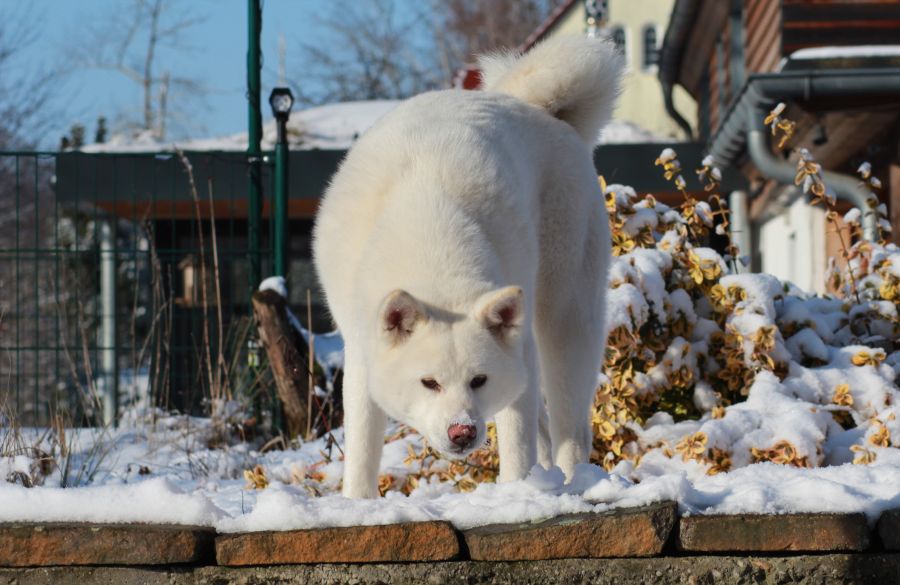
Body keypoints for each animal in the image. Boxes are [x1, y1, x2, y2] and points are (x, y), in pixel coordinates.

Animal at [313, 36, 623, 498]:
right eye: (429, 382)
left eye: (479, 380)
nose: (462, 432)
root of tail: (537, 107)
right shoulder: (361, 356)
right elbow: (363, 450)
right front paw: (358, 504)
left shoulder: (519, 358)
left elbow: (516, 438)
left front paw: (516, 492)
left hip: (565, 324)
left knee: (570, 431)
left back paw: (573, 484)